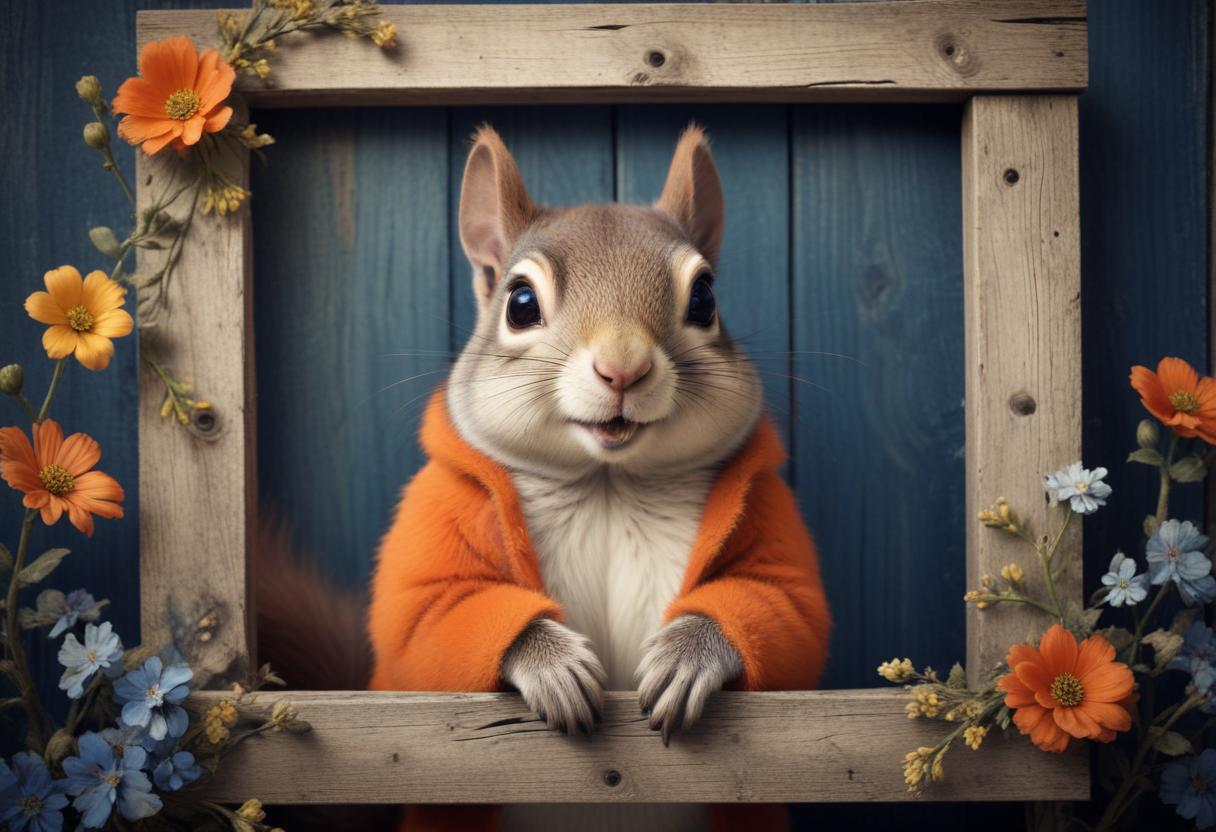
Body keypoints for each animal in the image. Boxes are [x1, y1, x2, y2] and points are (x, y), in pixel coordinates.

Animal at [257, 124, 831, 832]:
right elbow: (422, 620)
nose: (623, 367)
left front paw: (691, 653)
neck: (608, 482)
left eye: (706, 298)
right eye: (520, 303)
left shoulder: (770, 521)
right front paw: (550, 663)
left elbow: (789, 612)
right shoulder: (436, 514)